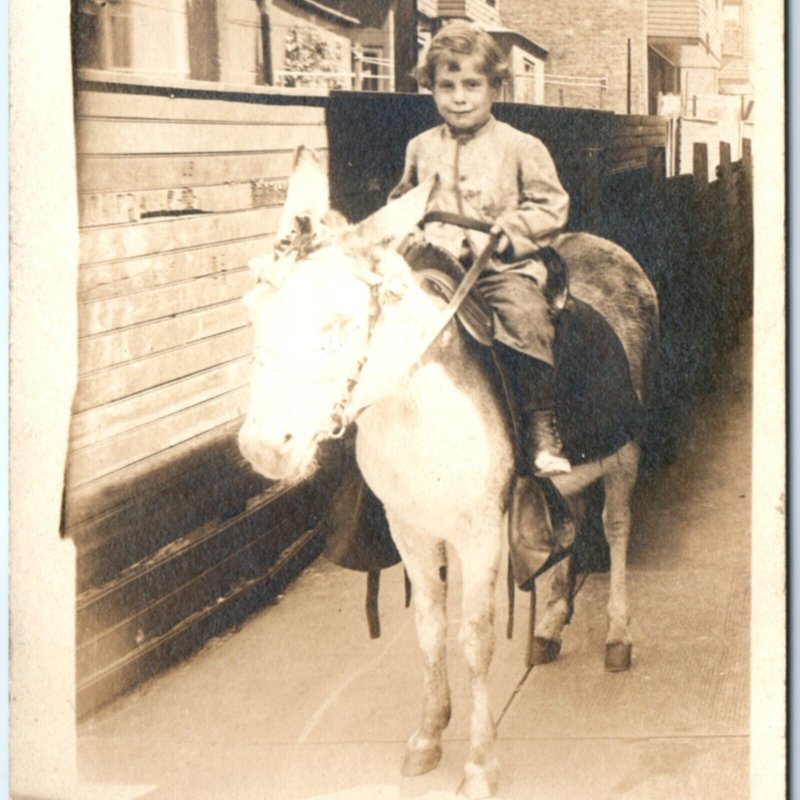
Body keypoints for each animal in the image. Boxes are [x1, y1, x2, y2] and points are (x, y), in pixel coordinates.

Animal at [239, 148, 664, 792]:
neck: (417, 409)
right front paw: (427, 734)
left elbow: (475, 639)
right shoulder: (410, 530)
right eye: (255, 310)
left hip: (625, 458)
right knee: (574, 517)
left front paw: (481, 763)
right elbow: (430, 630)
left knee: (615, 531)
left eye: (340, 322)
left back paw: (617, 635)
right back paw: (551, 625)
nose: (265, 446)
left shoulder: (481, 533)